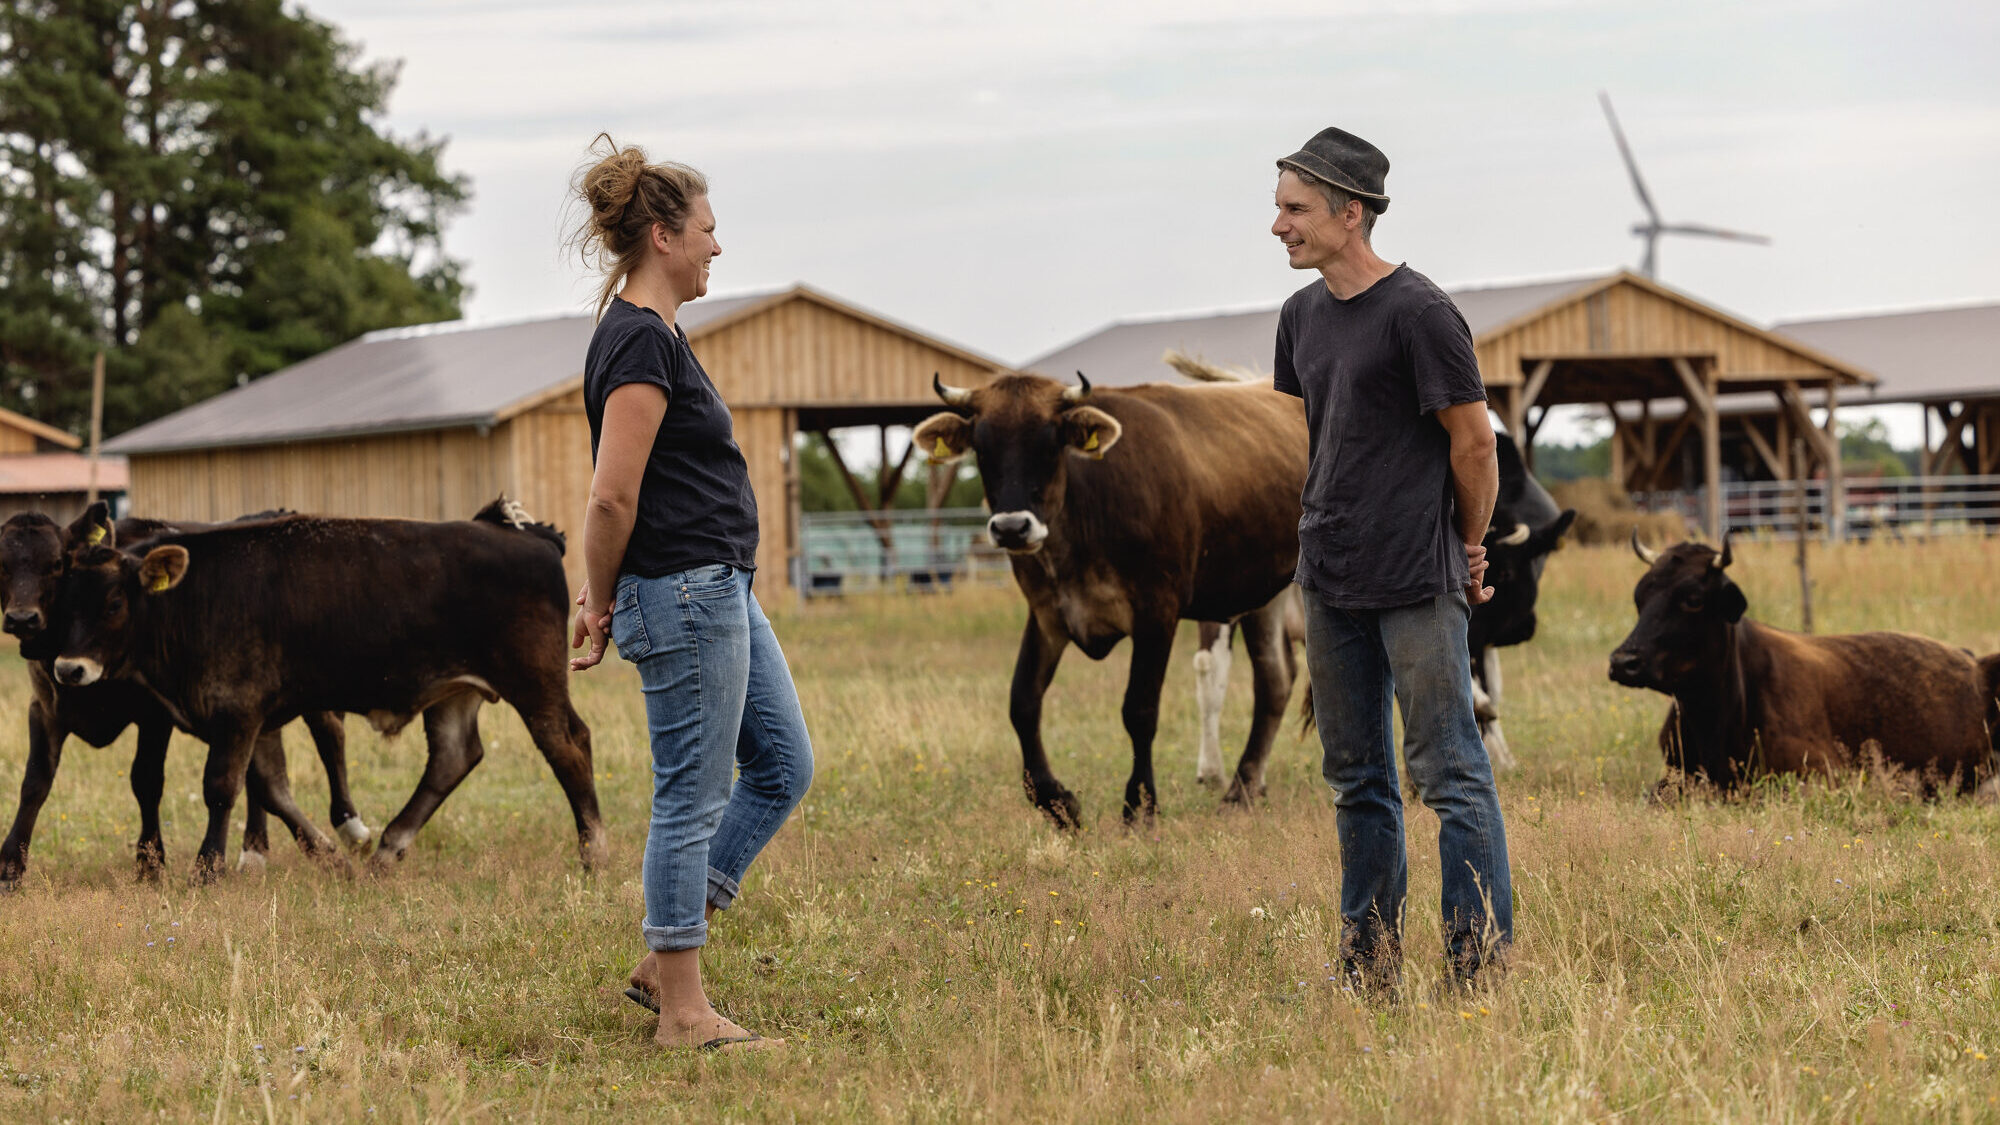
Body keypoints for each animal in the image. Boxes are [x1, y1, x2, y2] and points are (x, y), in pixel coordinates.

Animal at [43, 498, 596, 876]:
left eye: (114, 604)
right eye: (63, 602)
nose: (68, 669)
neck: (192, 595)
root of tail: (528, 536)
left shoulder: (238, 711)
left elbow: (222, 786)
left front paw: (207, 868)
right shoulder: (254, 718)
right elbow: (269, 788)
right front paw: (329, 854)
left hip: (534, 682)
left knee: (567, 745)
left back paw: (593, 850)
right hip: (454, 691)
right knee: (453, 756)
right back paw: (388, 849)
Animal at [912, 372, 1312, 820]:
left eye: (1050, 441)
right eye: (982, 446)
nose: (1013, 528)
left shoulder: (1157, 612)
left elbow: (1139, 708)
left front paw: (1139, 805)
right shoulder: (1048, 615)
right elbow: (1023, 702)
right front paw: (1055, 800)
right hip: (1264, 593)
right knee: (1274, 680)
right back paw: (1240, 791)